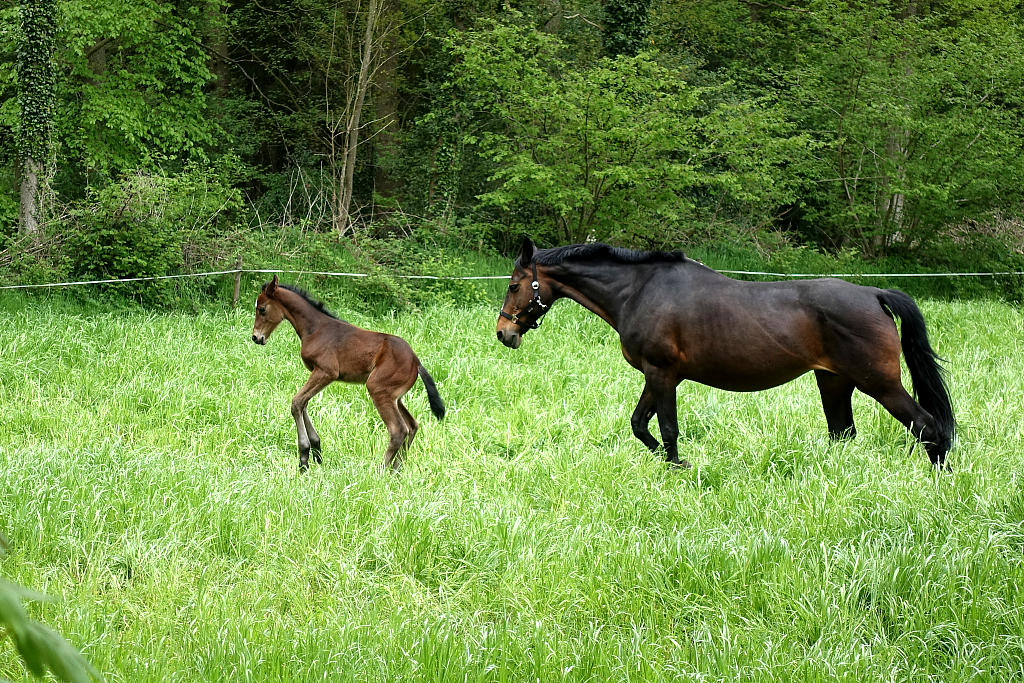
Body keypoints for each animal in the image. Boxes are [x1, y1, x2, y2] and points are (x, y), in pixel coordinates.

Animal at [250, 274, 444, 473]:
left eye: (262, 309)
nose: (256, 337)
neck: (314, 329)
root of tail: (416, 362)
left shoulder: (326, 372)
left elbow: (296, 402)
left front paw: (304, 458)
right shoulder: (317, 373)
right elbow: (303, 403)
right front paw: (316, 451)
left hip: (378, 389)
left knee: (398, 430)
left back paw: (381, 472)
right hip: (395, 397)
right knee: (412, 425)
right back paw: (396, 471)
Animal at [495, 240, 950, 471]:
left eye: (515, 284)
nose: (504, 332)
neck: (640, 290)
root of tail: (873, 293)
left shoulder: (662, 373)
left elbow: (667, 428)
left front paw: (677, 469)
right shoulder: (656, 376)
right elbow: (640, 426)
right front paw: (667, 462)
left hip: (880, 383)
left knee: (928, 427)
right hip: (834, 382)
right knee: (843, 435)